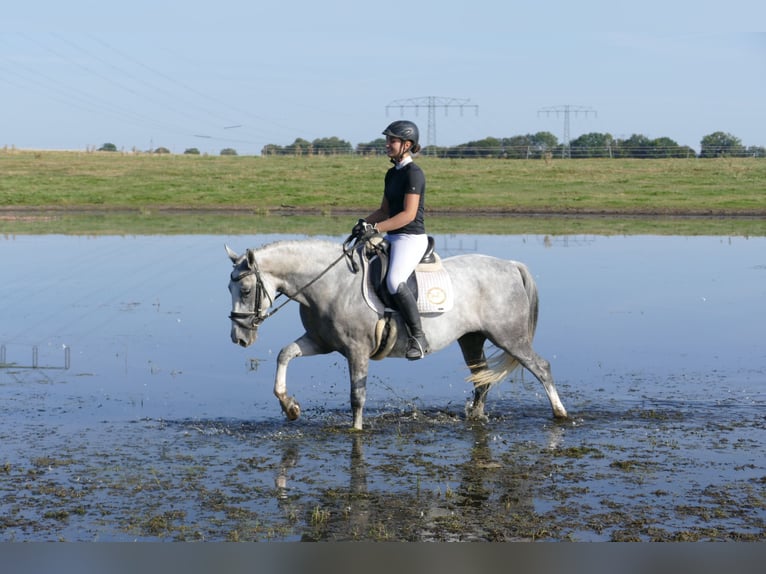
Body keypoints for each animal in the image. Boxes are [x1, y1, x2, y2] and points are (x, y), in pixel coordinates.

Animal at [225, 238, 568, 432]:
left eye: (246, 290)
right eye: (229, 288)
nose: (239, 338)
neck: (329, 284)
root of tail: (511, 265)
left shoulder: (356, 350)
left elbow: (357, 396)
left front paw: (356, 430)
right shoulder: (320, 343)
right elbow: (285, 354)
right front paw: (290, 407)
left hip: (510, 337)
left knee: (541, 368)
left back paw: (560, 414)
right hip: (471, 338)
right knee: (481, 380)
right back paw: (475, 417)